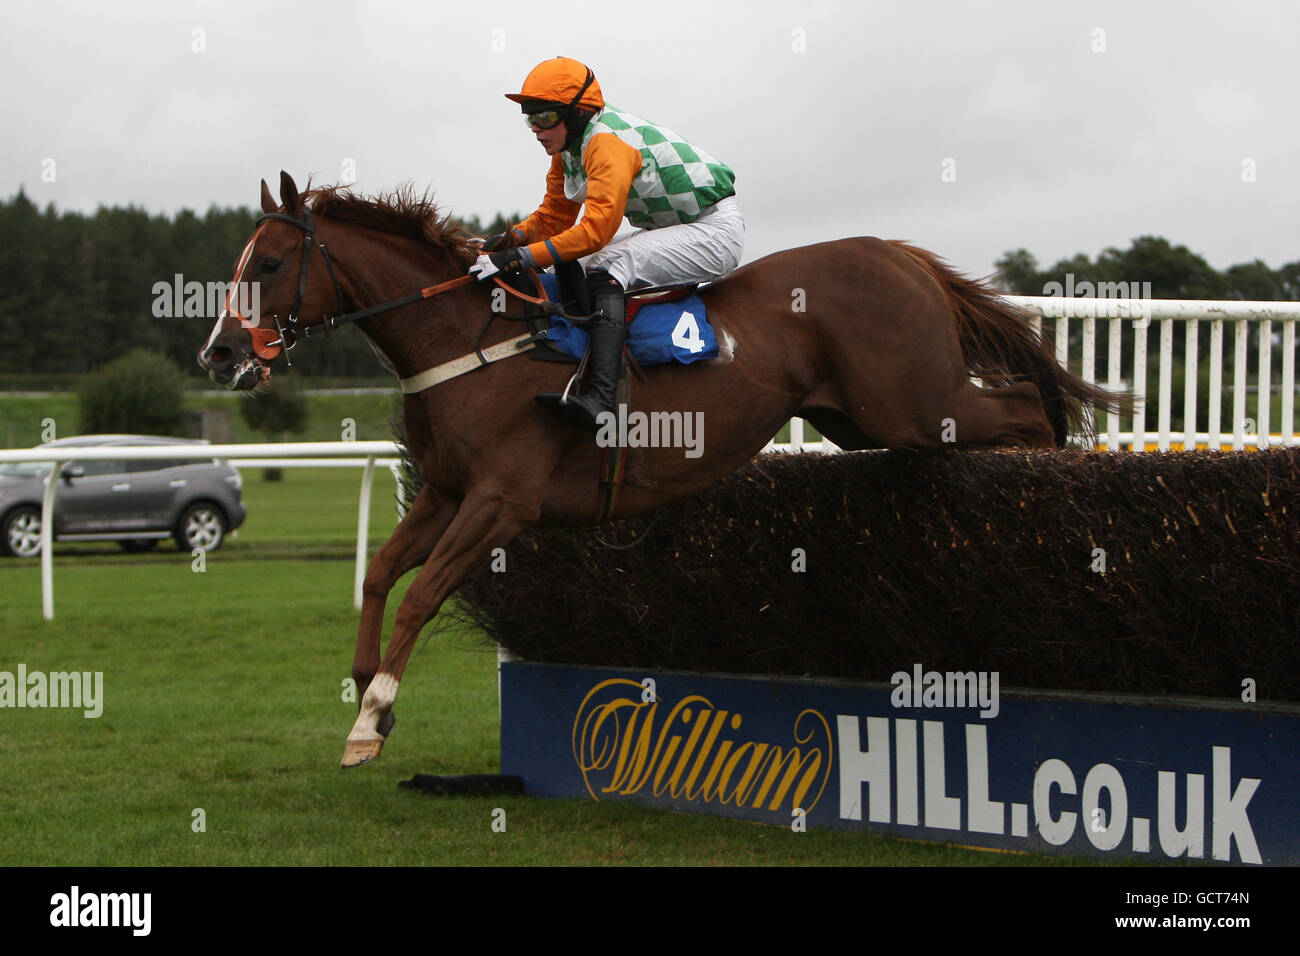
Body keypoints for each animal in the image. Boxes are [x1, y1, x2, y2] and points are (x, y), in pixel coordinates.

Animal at [197, 174, 1123, 770]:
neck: (471, 342)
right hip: (857, 417)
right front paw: (366, 695)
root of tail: (898, 254)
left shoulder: (501, 501)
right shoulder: (448, 491)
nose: (220, 354)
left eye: (268, 265)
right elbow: (381, 572)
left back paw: (1054, 482)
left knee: (1026, 408)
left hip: (912, 402)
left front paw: (374, 713)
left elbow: (422, 593)